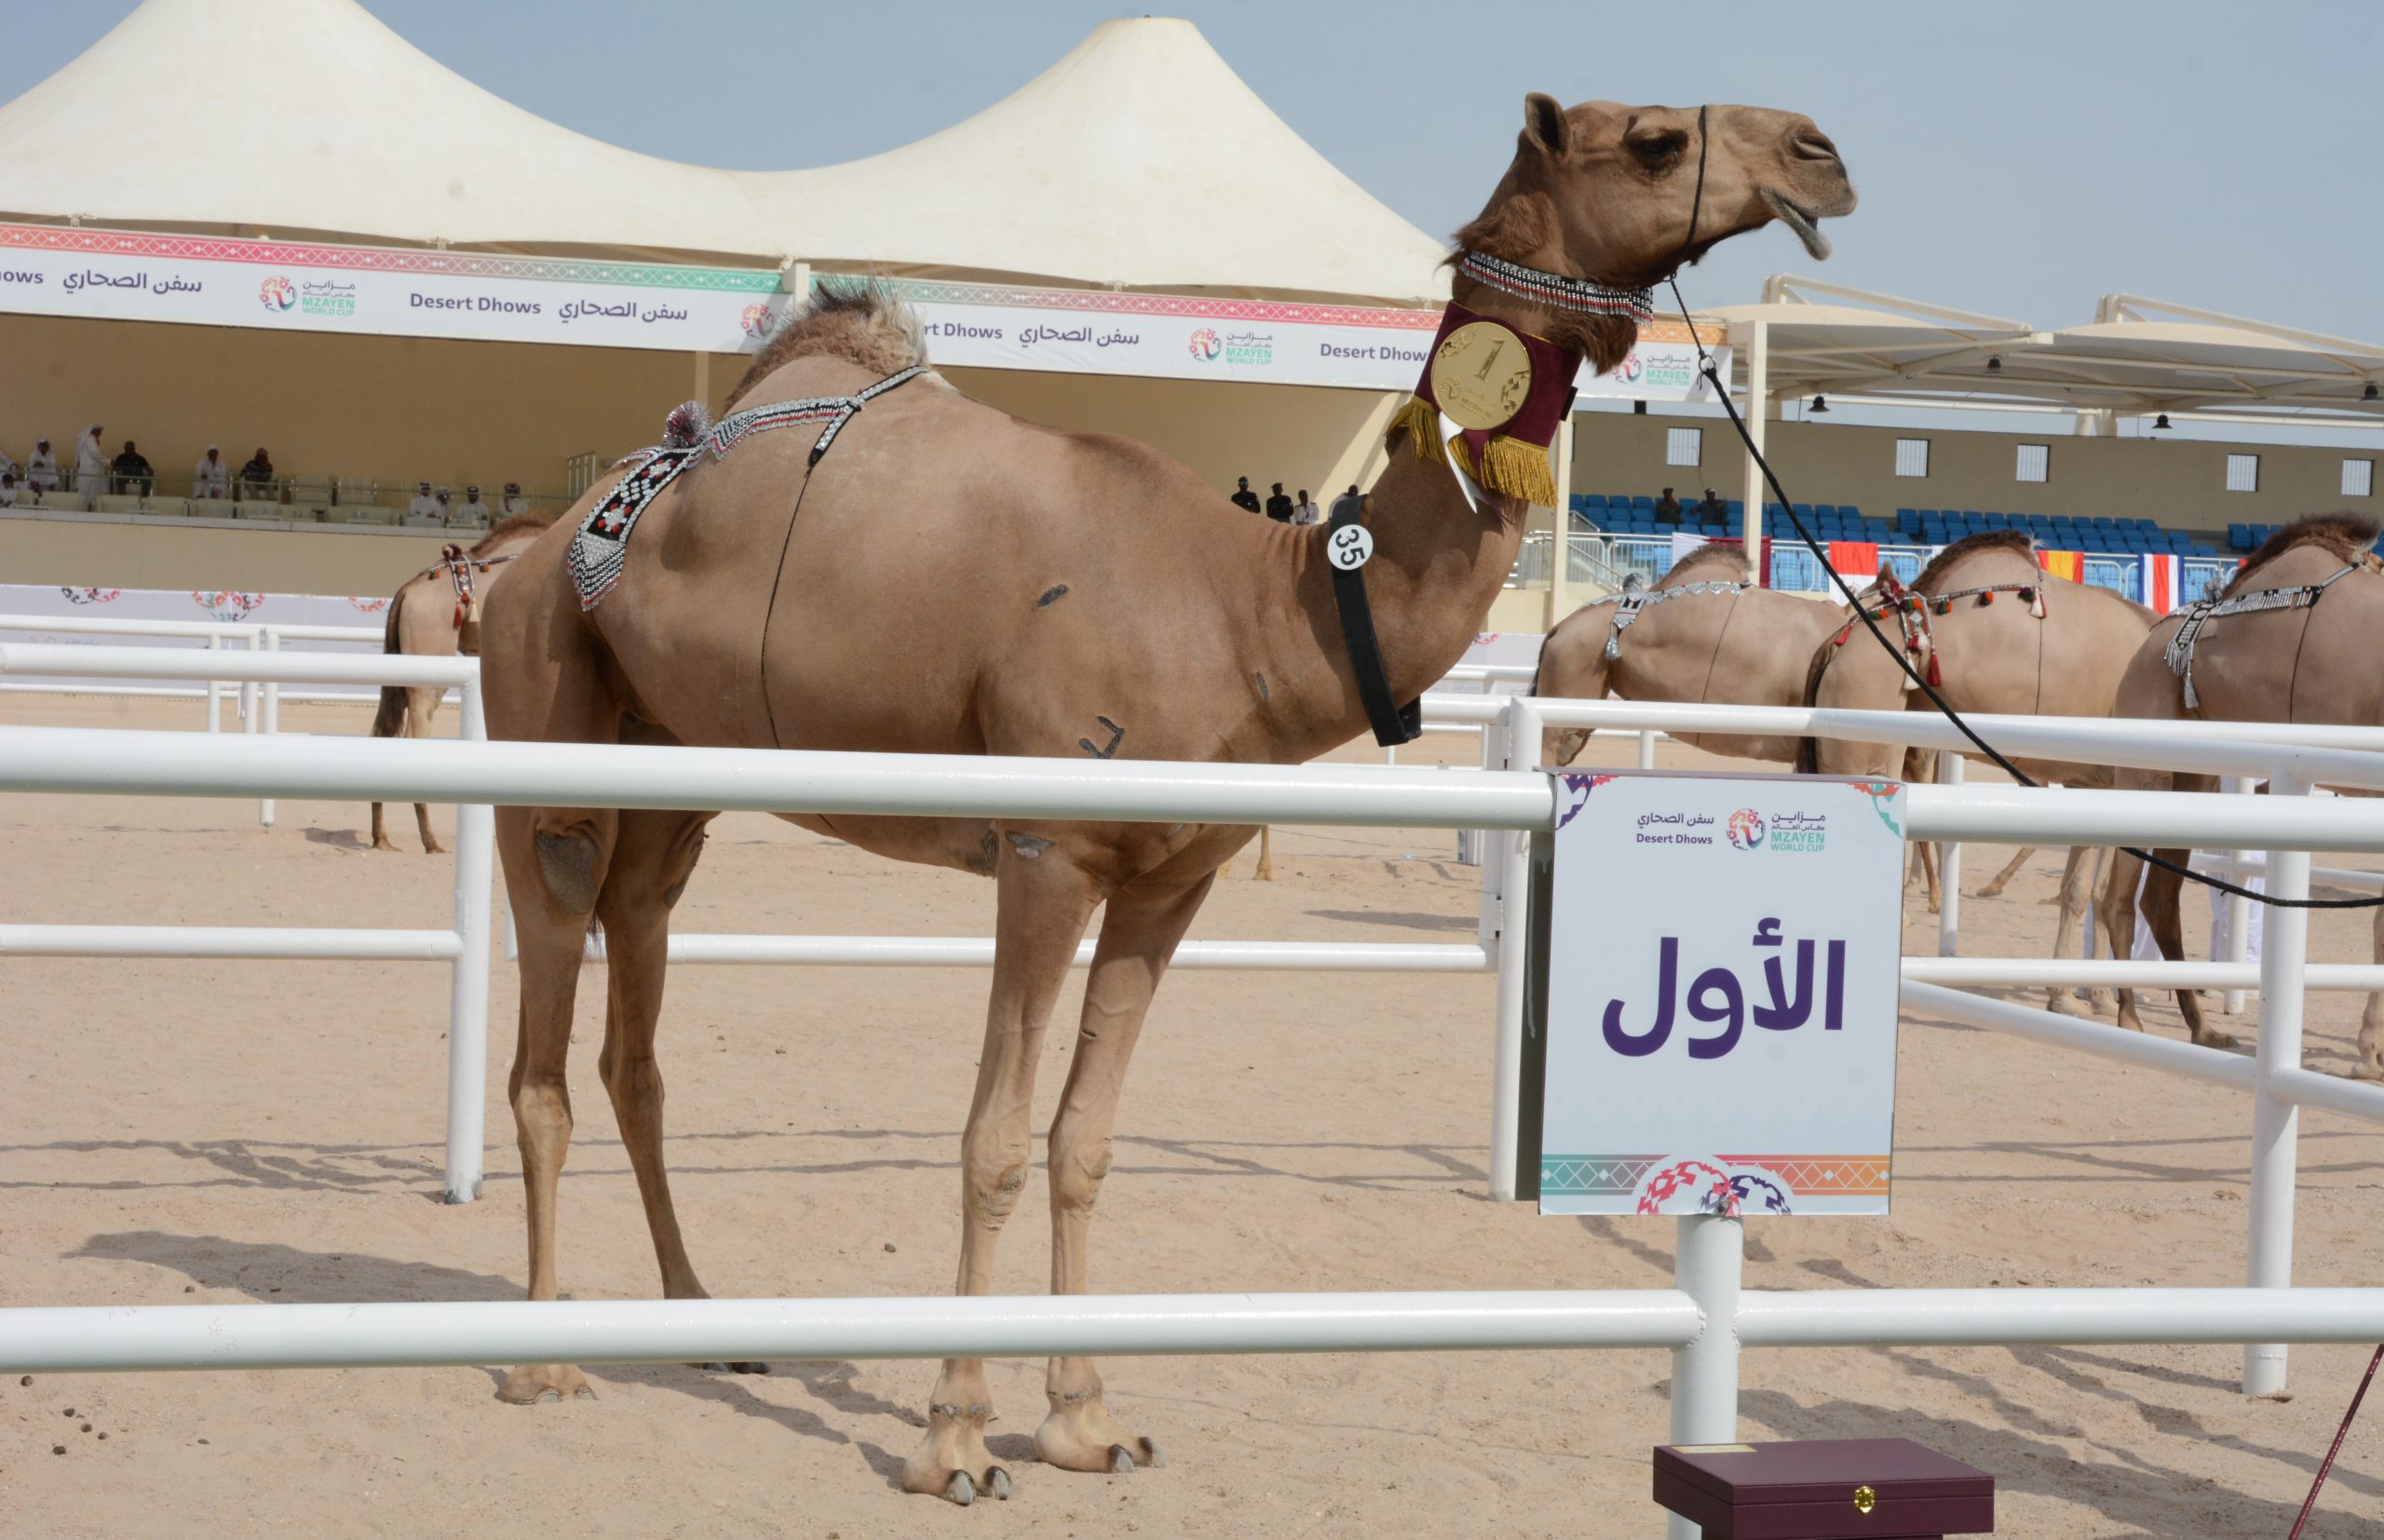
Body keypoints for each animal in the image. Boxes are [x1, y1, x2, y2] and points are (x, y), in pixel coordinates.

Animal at [1793, 536, 2174, 1020]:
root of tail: (1834, 645)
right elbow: (2096, 892)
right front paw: (2084, 997)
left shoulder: (2094, 784)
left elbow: (2082, 891)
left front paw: (2080, 996)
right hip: (1863, 741)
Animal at [2088, 520, 2384, 1073]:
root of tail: (2148, 641)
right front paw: (2370, 1054)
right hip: (2146, 767)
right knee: (2116, 896)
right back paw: (2130, 1018)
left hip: (2197, 778)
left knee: (2161, 898)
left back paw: (2203, 1028)